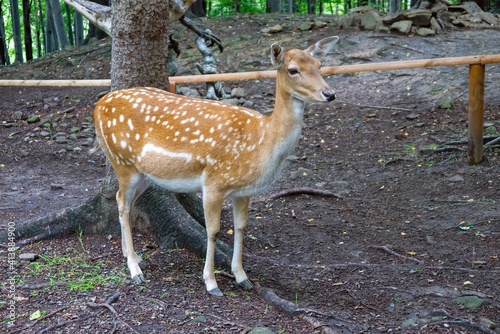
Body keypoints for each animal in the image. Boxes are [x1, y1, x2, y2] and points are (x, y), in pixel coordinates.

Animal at [92, 36, 338, 294]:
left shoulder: (243, 191)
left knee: (123, 200)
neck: (261, 142)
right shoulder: (214, 182)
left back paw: (131, 256)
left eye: (319, 65)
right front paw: (211, 282)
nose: (330, 93)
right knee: (123, 204)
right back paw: (134, 269)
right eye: (293, 70)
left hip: (144, 174)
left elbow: (240, 227)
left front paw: (242, 276)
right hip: (122, 162)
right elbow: (214, 231)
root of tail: (97, 107)